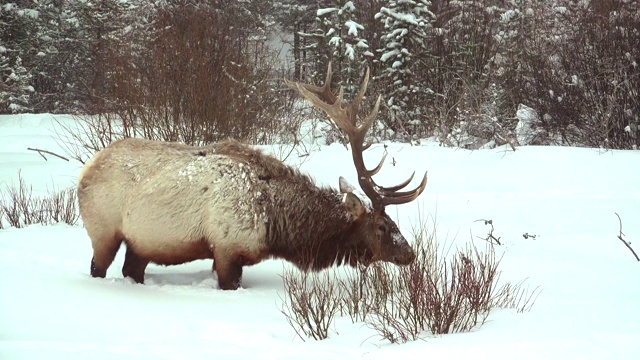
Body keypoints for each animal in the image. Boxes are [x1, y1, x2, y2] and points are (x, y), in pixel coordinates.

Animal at [77, 64, 424, 290]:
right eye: (382, 226)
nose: (409, 253)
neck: (276, 223)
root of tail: (87, 169)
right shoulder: (227, 250)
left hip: (140, 242)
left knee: (131, 268)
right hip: (103, 231)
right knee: (97, 267)